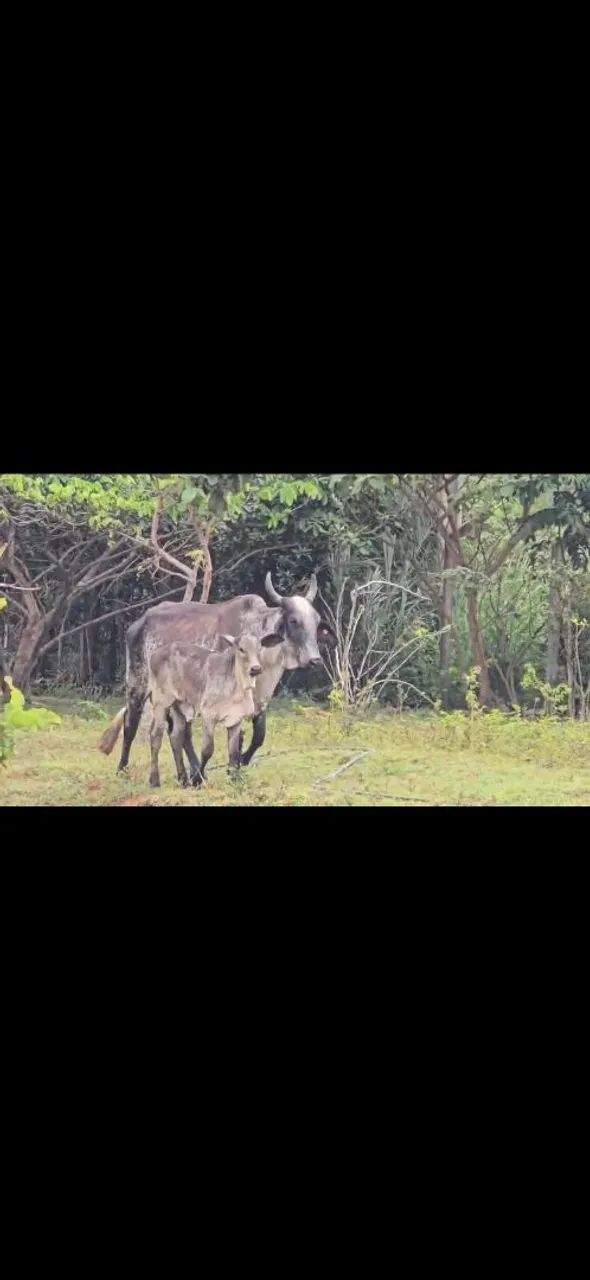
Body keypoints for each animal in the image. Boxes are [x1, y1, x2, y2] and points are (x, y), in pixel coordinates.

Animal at [146, 632, 281, 788]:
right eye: (241, 649)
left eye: (259, 648)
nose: (256, 668)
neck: (237, 686)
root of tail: (155, 653)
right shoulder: (209, 716)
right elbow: (207, 750)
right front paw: (197, 779)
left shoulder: (236, 719)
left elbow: (233, 751)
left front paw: (234, 778)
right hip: (161, 703)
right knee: (156, 736)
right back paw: (155, 780)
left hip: (179, 706)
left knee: (176, 737)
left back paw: (183, 779)